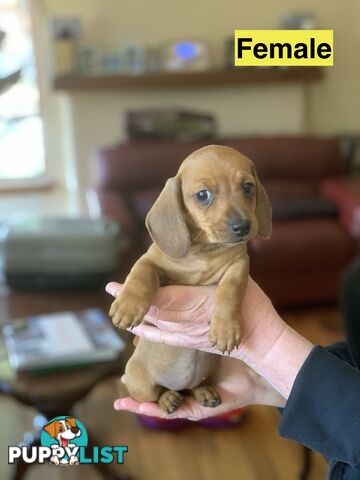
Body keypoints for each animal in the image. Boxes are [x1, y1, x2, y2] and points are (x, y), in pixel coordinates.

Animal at [109, 144, 270, 414]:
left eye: (248, 187)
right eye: (203, 195)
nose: (243, 227)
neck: (203, 251)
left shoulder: (238, 266)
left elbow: (231, 291)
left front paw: (226, 328)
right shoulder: (151, 262)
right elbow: (142, 273)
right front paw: (128, 305)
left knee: (194, 386)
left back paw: (203, 392)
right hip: (138, 382)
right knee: (154, 394)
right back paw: (167, 398)